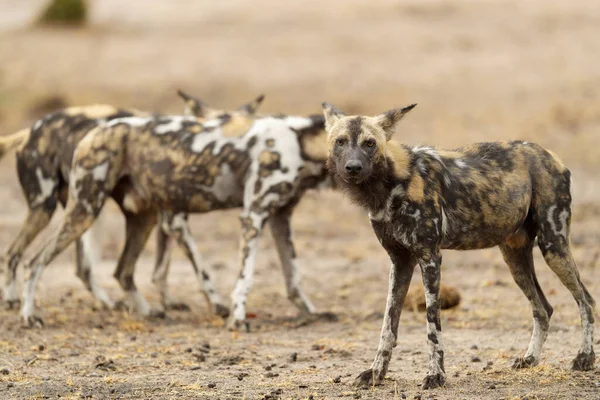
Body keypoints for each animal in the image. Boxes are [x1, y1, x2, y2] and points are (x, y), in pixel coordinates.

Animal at [0, 92, 262, 310]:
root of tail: (30, 130)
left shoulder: (166, 221)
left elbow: (161, 269)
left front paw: (168, 301)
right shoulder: (174, 222)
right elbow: (201, 268)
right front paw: (217, 303)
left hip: (83, 212)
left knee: (81, 267)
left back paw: (107, 302)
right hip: (48, 208)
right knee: (12, 253)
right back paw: (12, 298)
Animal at [322, 101, 592, 390]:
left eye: (370, 143)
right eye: (340, 142)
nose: (353, 167)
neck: (390, 185)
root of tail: (550, 155)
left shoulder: (429, 258)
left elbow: (432, 327)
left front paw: (435, 375)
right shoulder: (400, 262)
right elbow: (388, 326)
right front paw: (376, 373)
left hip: (553, 247)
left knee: (586, 300)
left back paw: (584, 357)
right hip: (515, 260)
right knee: (543, 308)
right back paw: (530, 358)